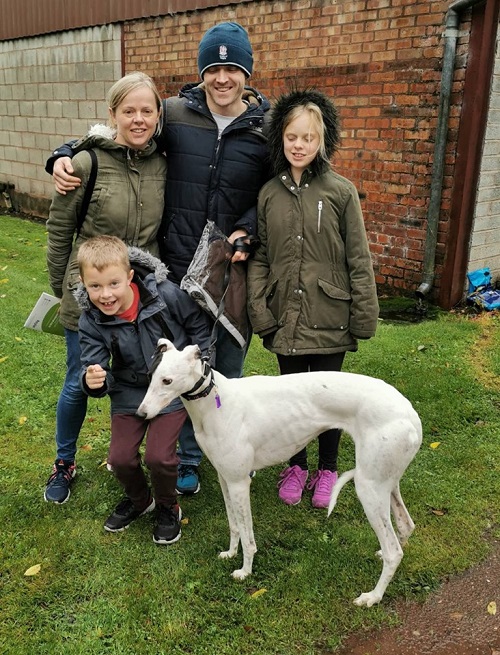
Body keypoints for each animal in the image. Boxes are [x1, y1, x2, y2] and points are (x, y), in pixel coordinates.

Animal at [139, 340, 424, 608]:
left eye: (167, 380)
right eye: (149, 375)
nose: (141, 414)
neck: (216, 403)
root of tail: (412, 416)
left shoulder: (240, 482)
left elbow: (248, 534)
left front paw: (245, 570)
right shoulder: (225, 478)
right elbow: (234, 524)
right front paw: (230, 553)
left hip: (369, 487)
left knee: (394, 552)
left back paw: (373, 596)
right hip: (384, 480)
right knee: (405, 525)